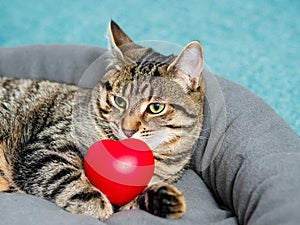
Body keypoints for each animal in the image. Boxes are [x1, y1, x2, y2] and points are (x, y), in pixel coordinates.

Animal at [0, 20, 204, 221]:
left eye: (155, 108)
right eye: (119, 101)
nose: (127, 130)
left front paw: (165, 199)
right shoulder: (46, 147)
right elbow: (63, 177)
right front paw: (95, 204)